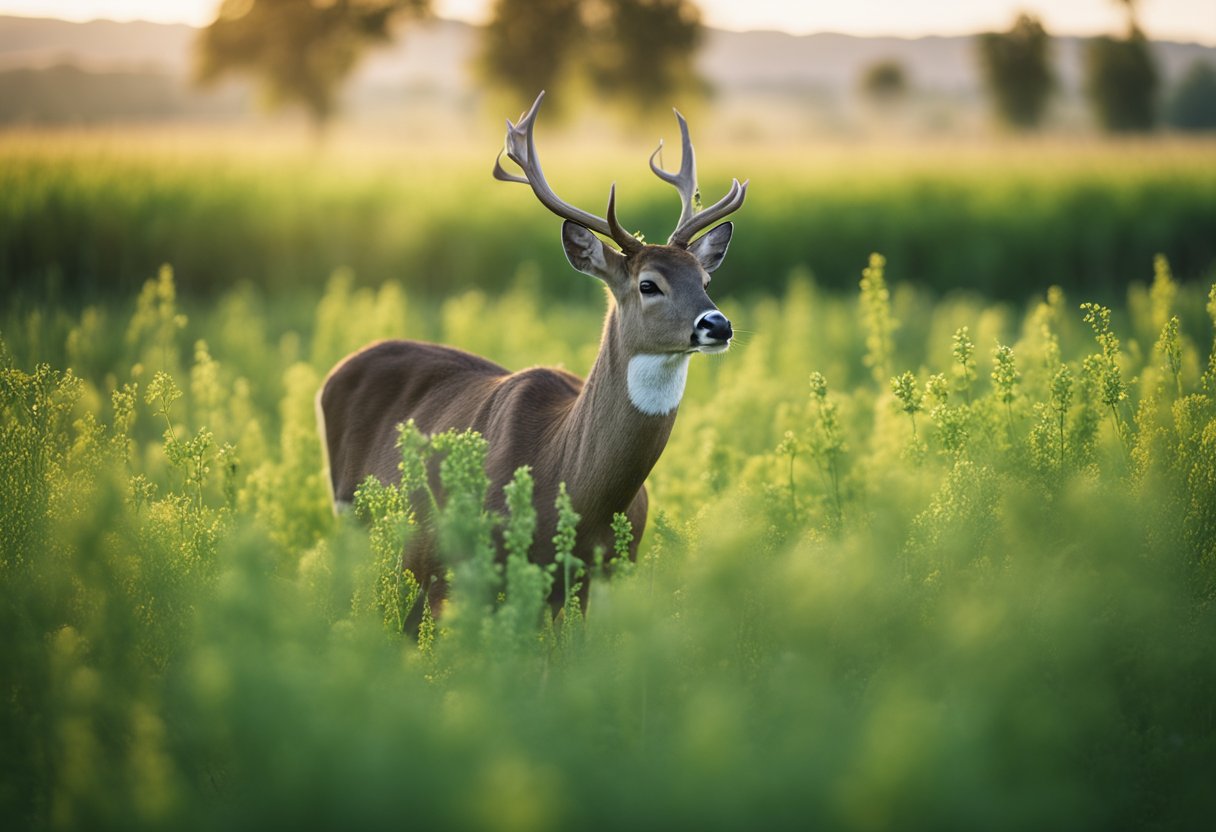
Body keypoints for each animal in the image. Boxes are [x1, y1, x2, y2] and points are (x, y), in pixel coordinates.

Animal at [316, 90, 746, 623]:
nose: (718, 325)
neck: (569, 482)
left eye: (704, 280)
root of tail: (338, 370)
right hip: (362, 530)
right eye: (649, 284)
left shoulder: (601, 575)